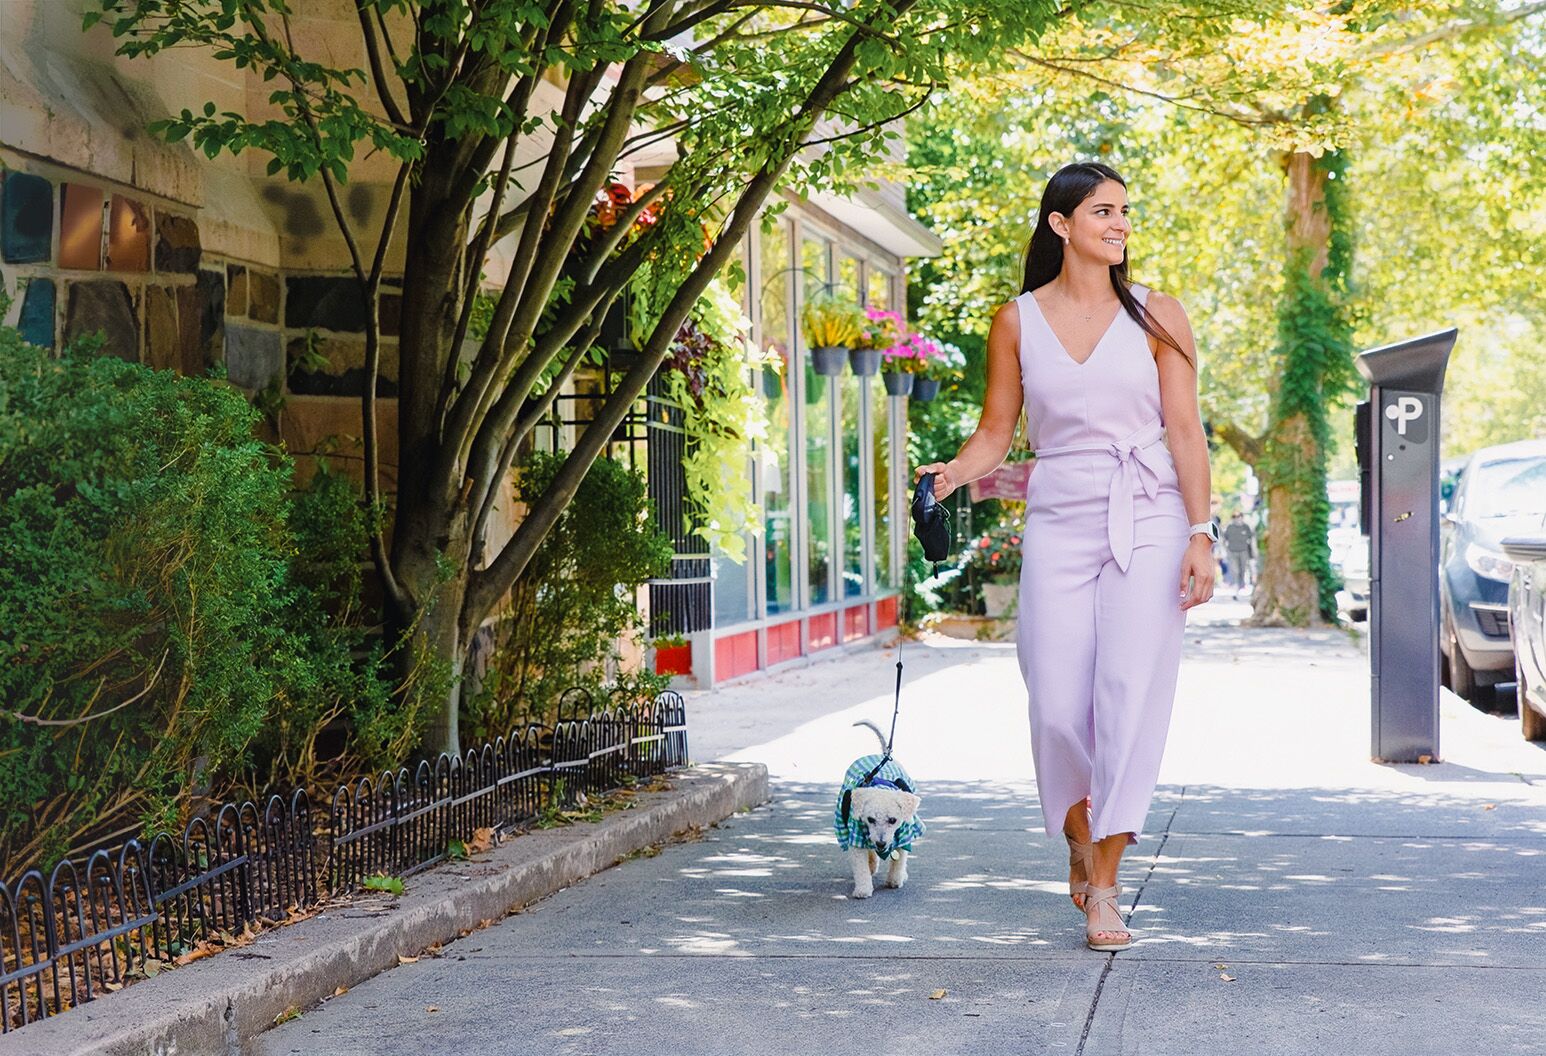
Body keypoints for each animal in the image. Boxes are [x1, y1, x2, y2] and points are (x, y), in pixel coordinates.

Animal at [841, 717, 921, 902]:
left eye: (893, 820)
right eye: (870, 819)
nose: (881, 843)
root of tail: (881, 755)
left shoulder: (904, 834)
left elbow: (899, 859)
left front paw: (895, 880)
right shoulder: (856, 835)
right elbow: (861, 865)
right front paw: (863, 889)